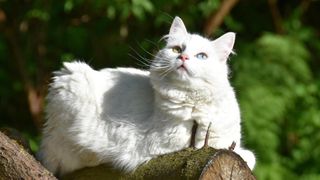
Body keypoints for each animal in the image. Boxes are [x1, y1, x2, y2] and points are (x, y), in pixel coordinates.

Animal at [38, 16, 256, 176]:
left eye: (202, 56)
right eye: (177, 49)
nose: (183, 57)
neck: (194, 103)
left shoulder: (226, 135)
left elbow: (241, 152)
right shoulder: (165, 144)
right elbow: (230, 149)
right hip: (74, 84)